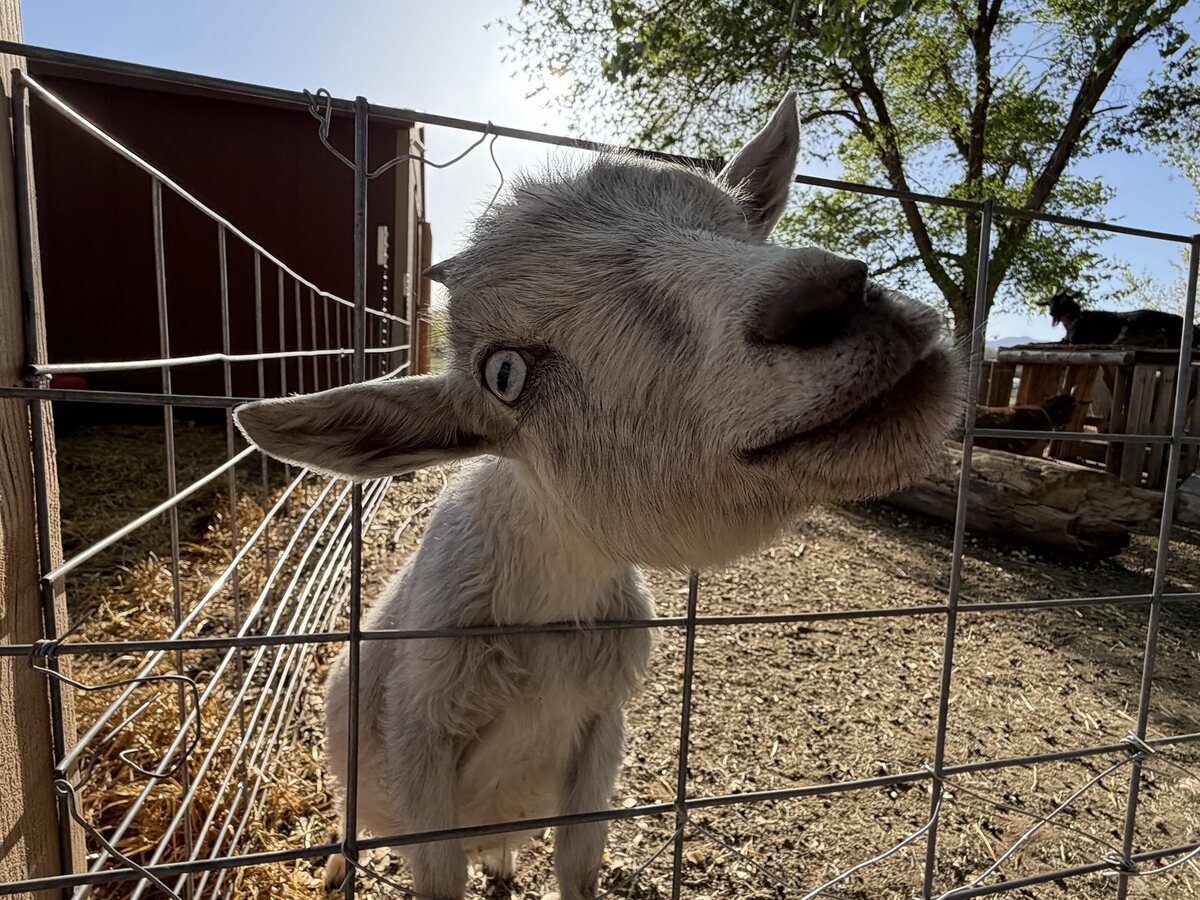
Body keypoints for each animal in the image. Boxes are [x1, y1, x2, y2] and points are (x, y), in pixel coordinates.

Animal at [234, 92, 962, 900]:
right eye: (505, 374)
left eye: (737, 224)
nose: (829, 297)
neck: (548, 604)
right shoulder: (420, 742)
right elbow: (438, 875)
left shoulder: (600, 730)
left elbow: (579, 867)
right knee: (349, 816)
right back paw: (337, 866)